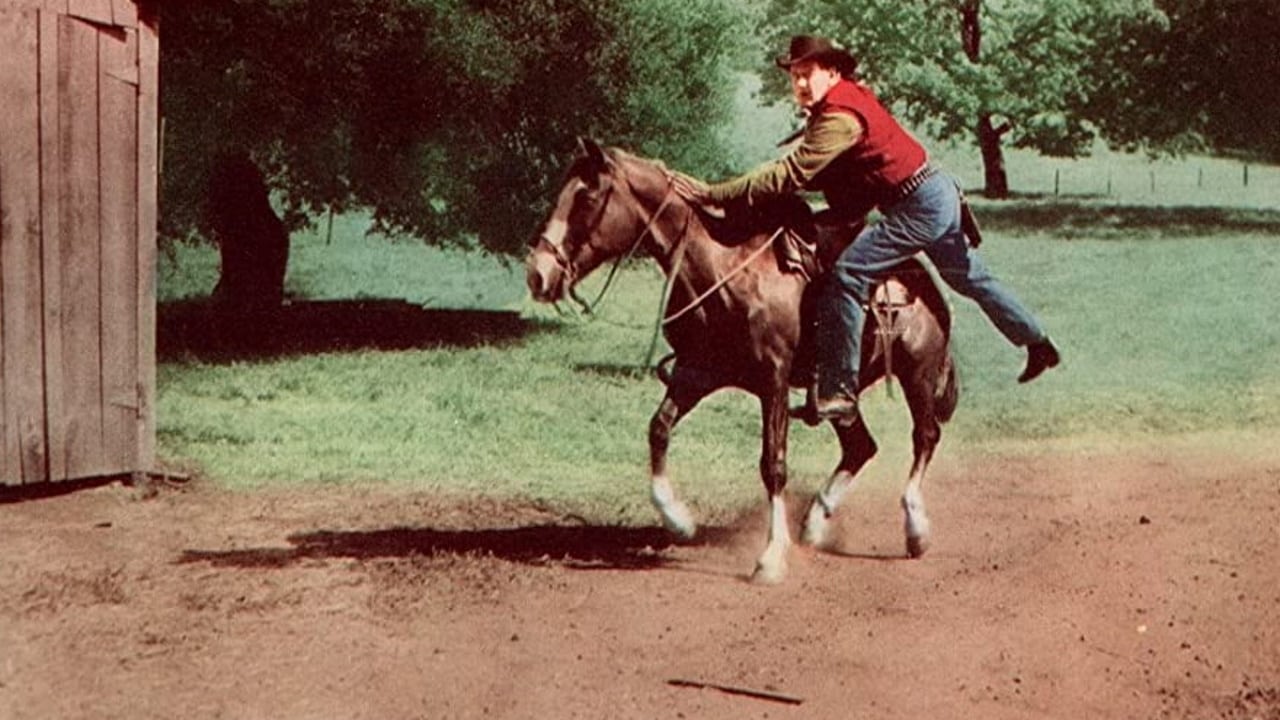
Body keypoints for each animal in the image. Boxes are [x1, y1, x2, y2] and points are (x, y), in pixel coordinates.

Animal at [524, 140, 957, 584]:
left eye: (587, 197)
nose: (538, 274)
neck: (721, 269)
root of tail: (921, 278)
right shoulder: (696, 372)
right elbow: (658, 429)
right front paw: (679, 520)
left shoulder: (774, 380)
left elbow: (773, 465)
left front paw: (771, 557)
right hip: (839, 393)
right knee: (861, 447)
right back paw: (815, 523)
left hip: (918, 372)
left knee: (925, 436)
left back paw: (915, 528)